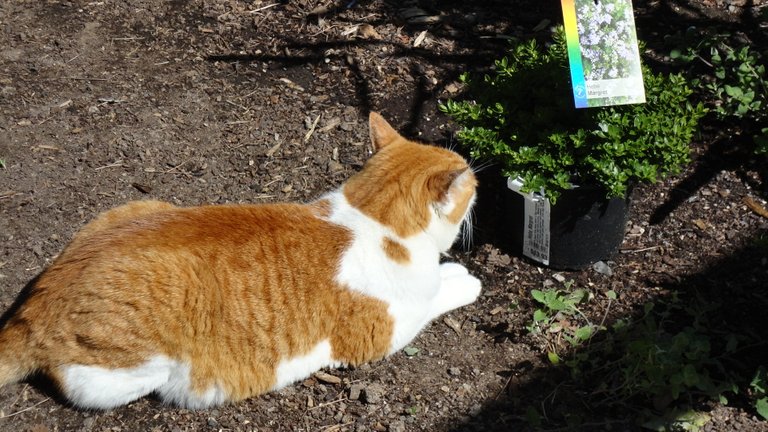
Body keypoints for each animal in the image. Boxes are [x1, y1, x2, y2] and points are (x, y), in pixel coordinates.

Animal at [0, 111, 480, 408]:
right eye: (473, 186)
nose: (477, 187)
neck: (372, 216)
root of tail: (34, 305)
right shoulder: (386, 330)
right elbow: (434, 297)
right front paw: (461, 279)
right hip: (132, 365)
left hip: (133, 208)